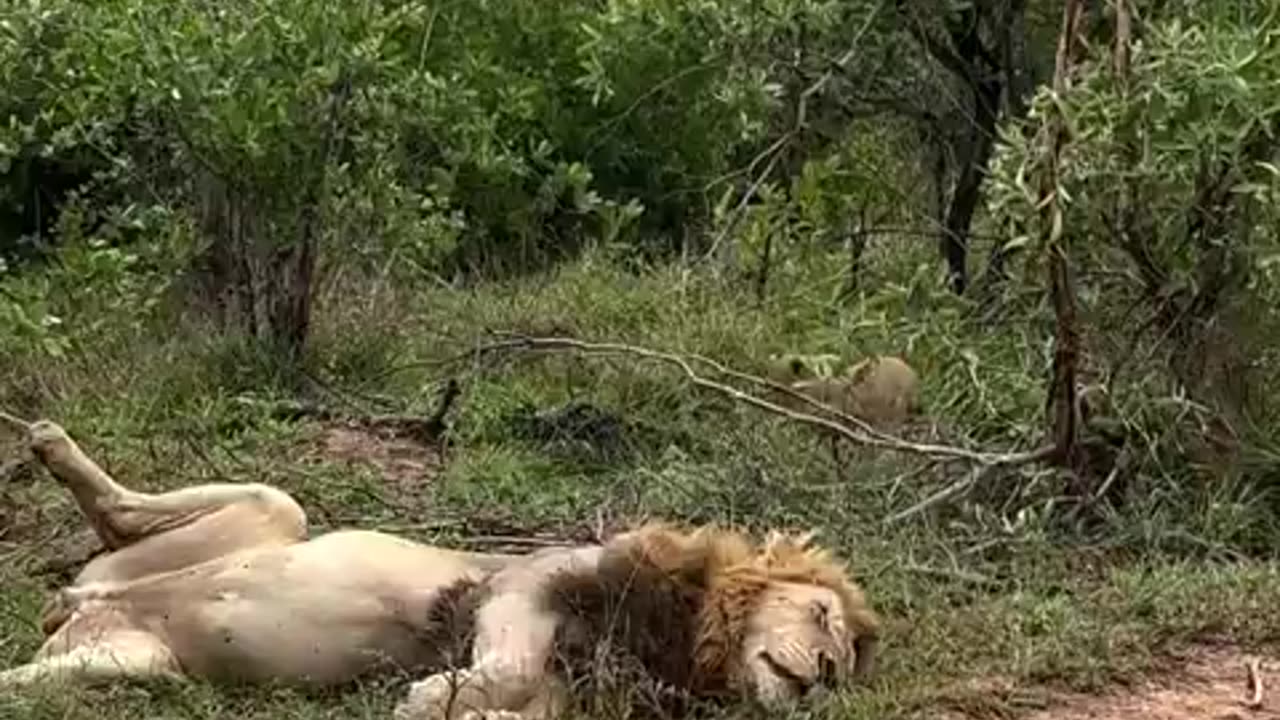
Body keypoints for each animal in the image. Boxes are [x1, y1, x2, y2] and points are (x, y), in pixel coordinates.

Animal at [0, 417, 880, 712]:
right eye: (822, 619)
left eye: (842, 663)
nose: (824, 675)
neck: (687, 639)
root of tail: (84, 606)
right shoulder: (528, 583)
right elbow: (504, 659)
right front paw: (433, 692)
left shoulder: (569, 696)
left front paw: (448, 703)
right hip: (278, 513)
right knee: (136, 511)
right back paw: (48, 443)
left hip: (129, 666)